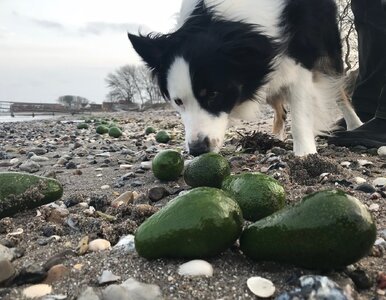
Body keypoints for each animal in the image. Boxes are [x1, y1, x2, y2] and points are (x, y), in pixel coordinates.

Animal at [129, 0, 362, 157]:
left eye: (213, 94)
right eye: (178, 102)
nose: (196, 150)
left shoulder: (298, 58)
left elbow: (301, 112)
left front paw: (305, 153)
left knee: (339, 91)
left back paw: (355, 124)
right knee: (280, 110)